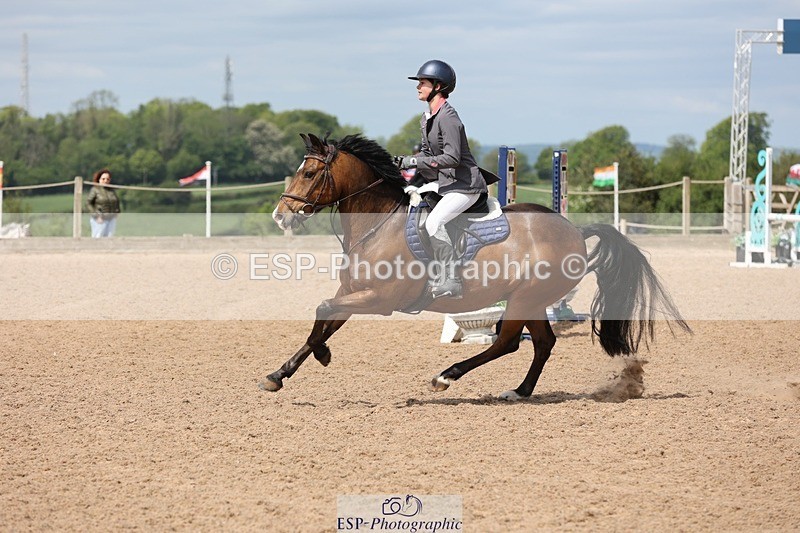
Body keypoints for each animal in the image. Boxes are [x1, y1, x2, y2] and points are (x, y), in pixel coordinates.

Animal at [265, 133, 690, 400]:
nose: (279, 216)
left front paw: (322, 355)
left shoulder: (378, 299)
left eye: (309, 173)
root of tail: (574, 229)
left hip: (524, 299)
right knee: (542, 343)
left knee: (507, 342)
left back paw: (446, 377)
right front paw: (279, 374)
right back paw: (519, 391)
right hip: (532, 301)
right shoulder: (354, 293)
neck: (378, 223)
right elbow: (325, 317)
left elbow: (322, 310)